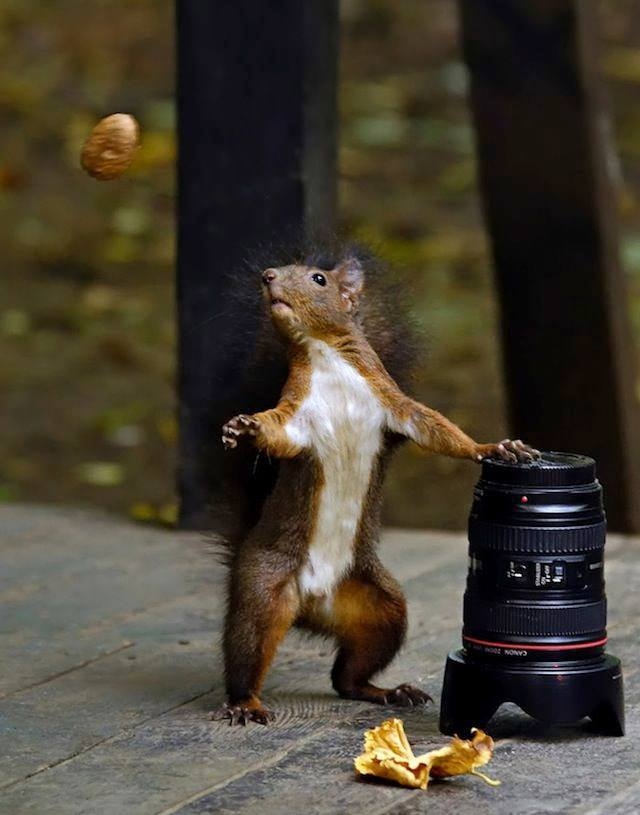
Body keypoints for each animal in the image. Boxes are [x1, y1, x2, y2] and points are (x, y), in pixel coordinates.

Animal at [213, 245, 538, 725]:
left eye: (318, 279)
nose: (268, 277)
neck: (326, 357)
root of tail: (311, 604)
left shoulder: (395, 404)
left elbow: (439, 432)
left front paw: (493, 447)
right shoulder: (295, 416)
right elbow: (276, 433)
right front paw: (246, 427)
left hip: (382, 609)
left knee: (347, 677)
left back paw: (385, 690)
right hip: (263, 591)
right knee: (248, 649)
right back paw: (244, 703)